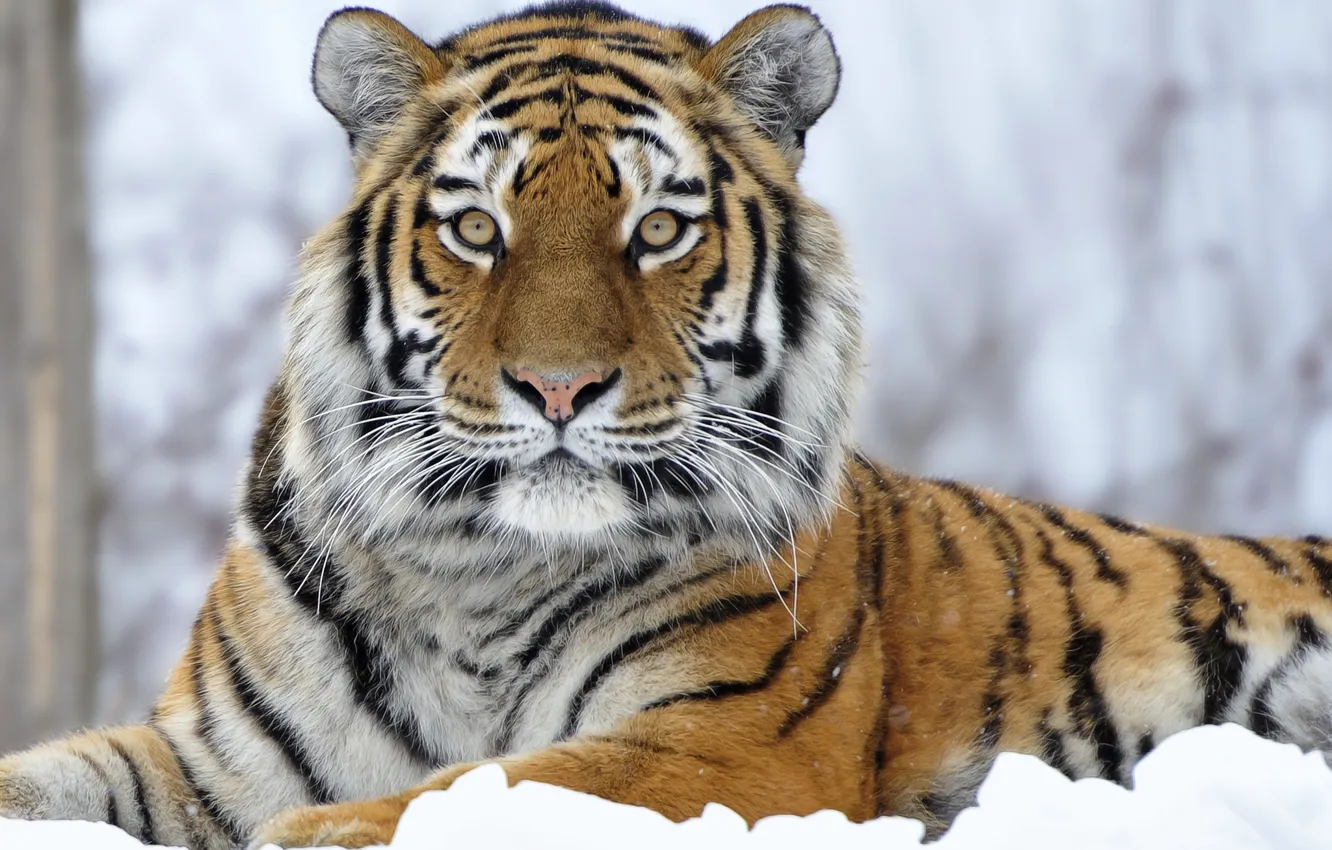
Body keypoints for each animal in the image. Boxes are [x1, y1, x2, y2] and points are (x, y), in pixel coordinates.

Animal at [3, 2, 1332, 848]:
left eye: (657, 229)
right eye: (477, 227)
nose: (557, 389)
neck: (475, 568)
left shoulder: (720, 739)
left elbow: (465, 789)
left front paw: (316, 836)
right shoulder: (214, 759)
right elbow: (54, 775)